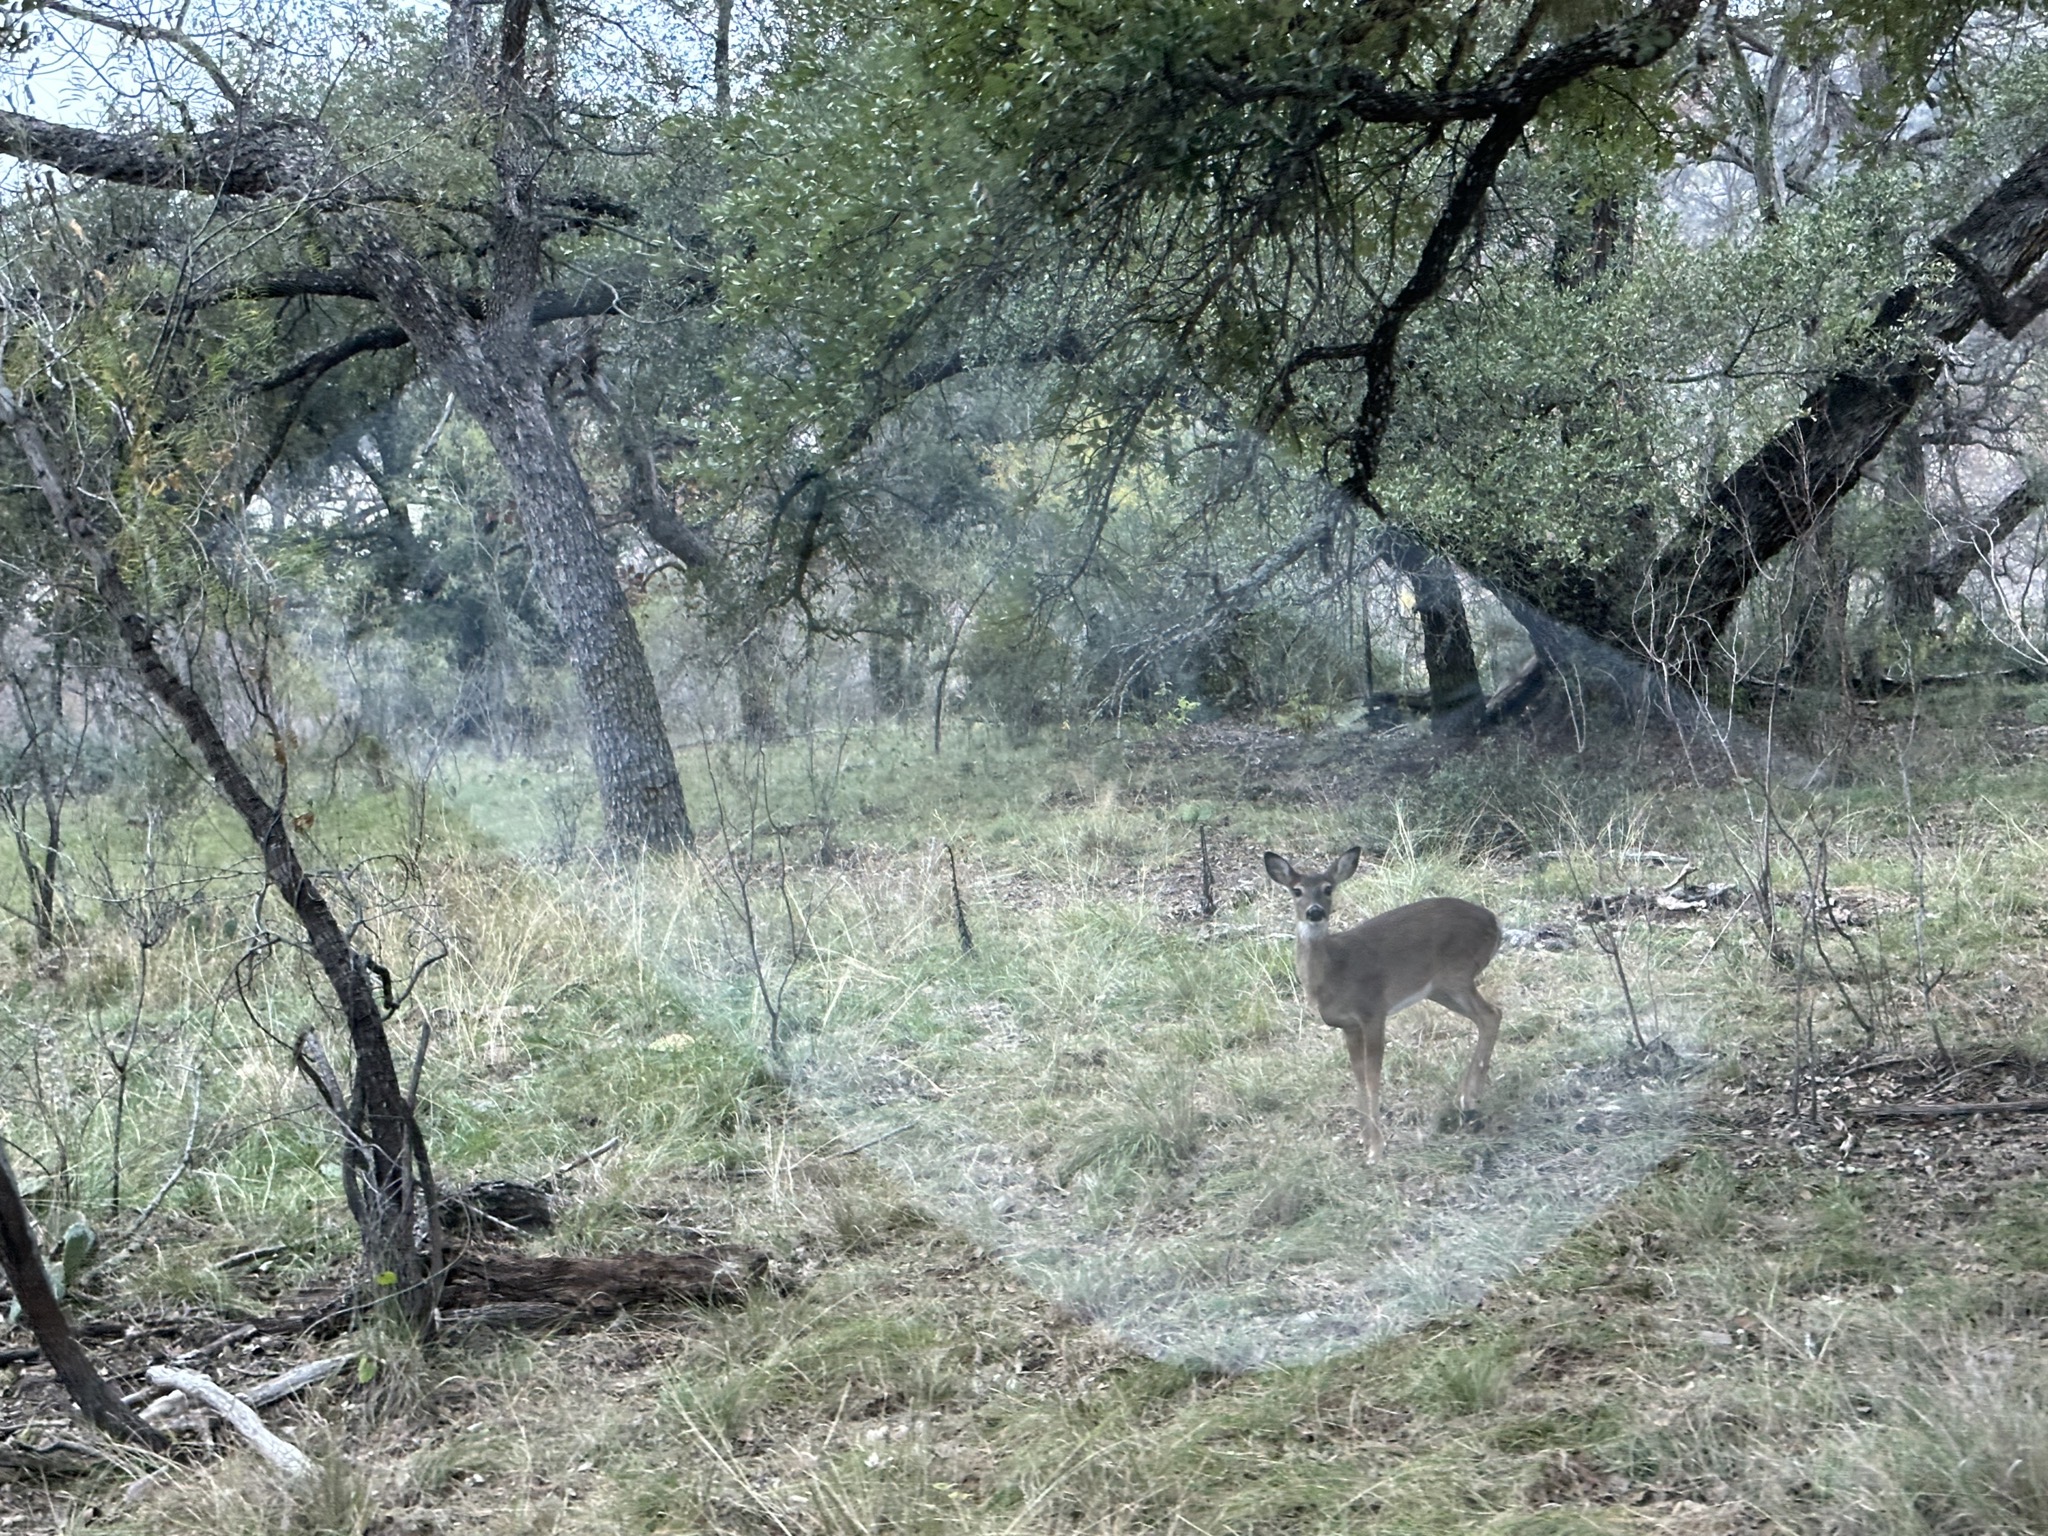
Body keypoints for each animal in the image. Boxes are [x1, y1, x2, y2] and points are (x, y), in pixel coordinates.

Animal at [1264, 847, 1503, 1161]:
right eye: (1296, 890)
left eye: (1328, 888)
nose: (1315, 912)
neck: (1336, 972)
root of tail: (1495, 923)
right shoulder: (1348, 1025)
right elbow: (1357, 1074)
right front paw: (1364, 1138)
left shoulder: (1373, 1011)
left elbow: (1372, 1074)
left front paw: (1376, 1148)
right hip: (1440, 989)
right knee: (1490, 1015)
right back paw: (1469, 1096)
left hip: (1457, 974)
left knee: (1490, 1014)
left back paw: (1468, 1098)